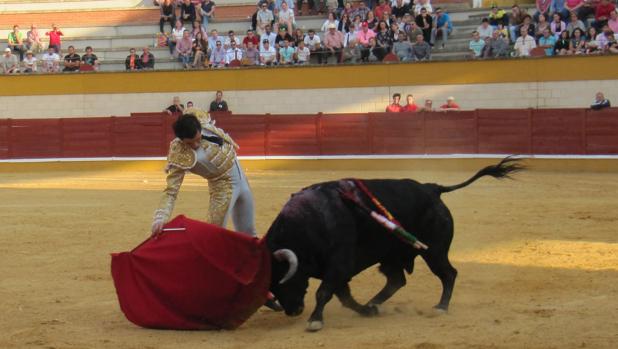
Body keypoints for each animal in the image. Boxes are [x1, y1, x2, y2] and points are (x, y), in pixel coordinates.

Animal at [264, 156, 520, 330]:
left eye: (283, 280)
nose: (293, 311)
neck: (309, 222)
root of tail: (432, 189)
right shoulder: (337, 271)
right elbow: (344, 296)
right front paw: (365, 311)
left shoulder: (339, 265)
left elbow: (324, 292)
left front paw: (315, 320)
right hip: (392, 257)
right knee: (397, 280)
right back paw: (374, 304)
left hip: (435, 251)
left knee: (448, 273)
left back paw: (441, 307)